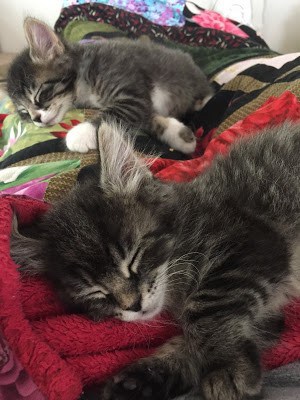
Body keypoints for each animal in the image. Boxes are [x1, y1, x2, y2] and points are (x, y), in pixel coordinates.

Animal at [7, 18, 213, 154]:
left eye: (40, 95)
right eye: (24, 113)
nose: (36, 119)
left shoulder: (131, 93)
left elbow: (112, 115)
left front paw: (80, 133)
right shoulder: (142, 104)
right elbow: (148, 118)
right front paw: (180, 136)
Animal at [11, 122, 300, 400]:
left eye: (133, 257)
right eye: (96, 292)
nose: (134, 305)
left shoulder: (249, 245)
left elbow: (203, 313)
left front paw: (228, 368)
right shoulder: (267, 311)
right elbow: (190, 339)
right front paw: (144, 378)